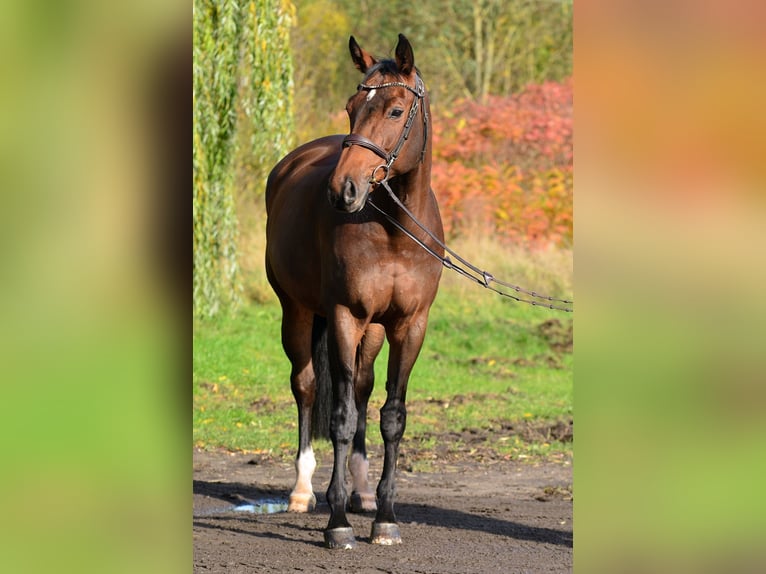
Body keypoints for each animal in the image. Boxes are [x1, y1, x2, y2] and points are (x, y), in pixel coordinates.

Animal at [265, 33, 443, 549]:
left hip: (374, 332)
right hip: (298, 313)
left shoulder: (409, 325)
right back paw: (303, 490)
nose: (342, 189)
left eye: (396, 111)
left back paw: (361, 491)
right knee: (306, 386)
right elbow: (340, 417)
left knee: (362, 388)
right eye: (350, 107)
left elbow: (391, 416)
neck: (395, 232)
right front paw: (338, 522)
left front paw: (384, 516)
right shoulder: (345, 315)